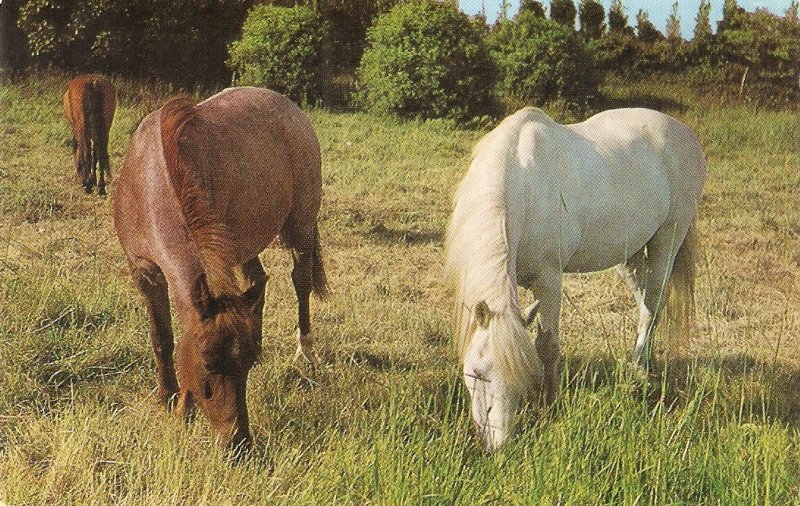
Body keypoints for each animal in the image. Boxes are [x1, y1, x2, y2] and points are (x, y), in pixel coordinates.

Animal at [112, 87, 328, 450]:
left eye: (246, 369)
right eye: (207, 363)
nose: (237, 441)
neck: (152, 181)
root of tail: (288, 105)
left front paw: (181, 406)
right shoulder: (144, 271)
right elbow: (162, 337)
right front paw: (168, 400)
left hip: (300, 223)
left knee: (301, 281)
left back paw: (306, 351)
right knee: (259, 281)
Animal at [444, 107, 708, 450]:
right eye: (476, 373)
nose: (499, 445)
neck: (522, 182)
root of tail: (683, 132)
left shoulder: (549, 279)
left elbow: (547, 346)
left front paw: (549, 405)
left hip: (668, 238)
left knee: (652, 305)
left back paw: (639, 372)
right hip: (631, 254)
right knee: (648, 303)